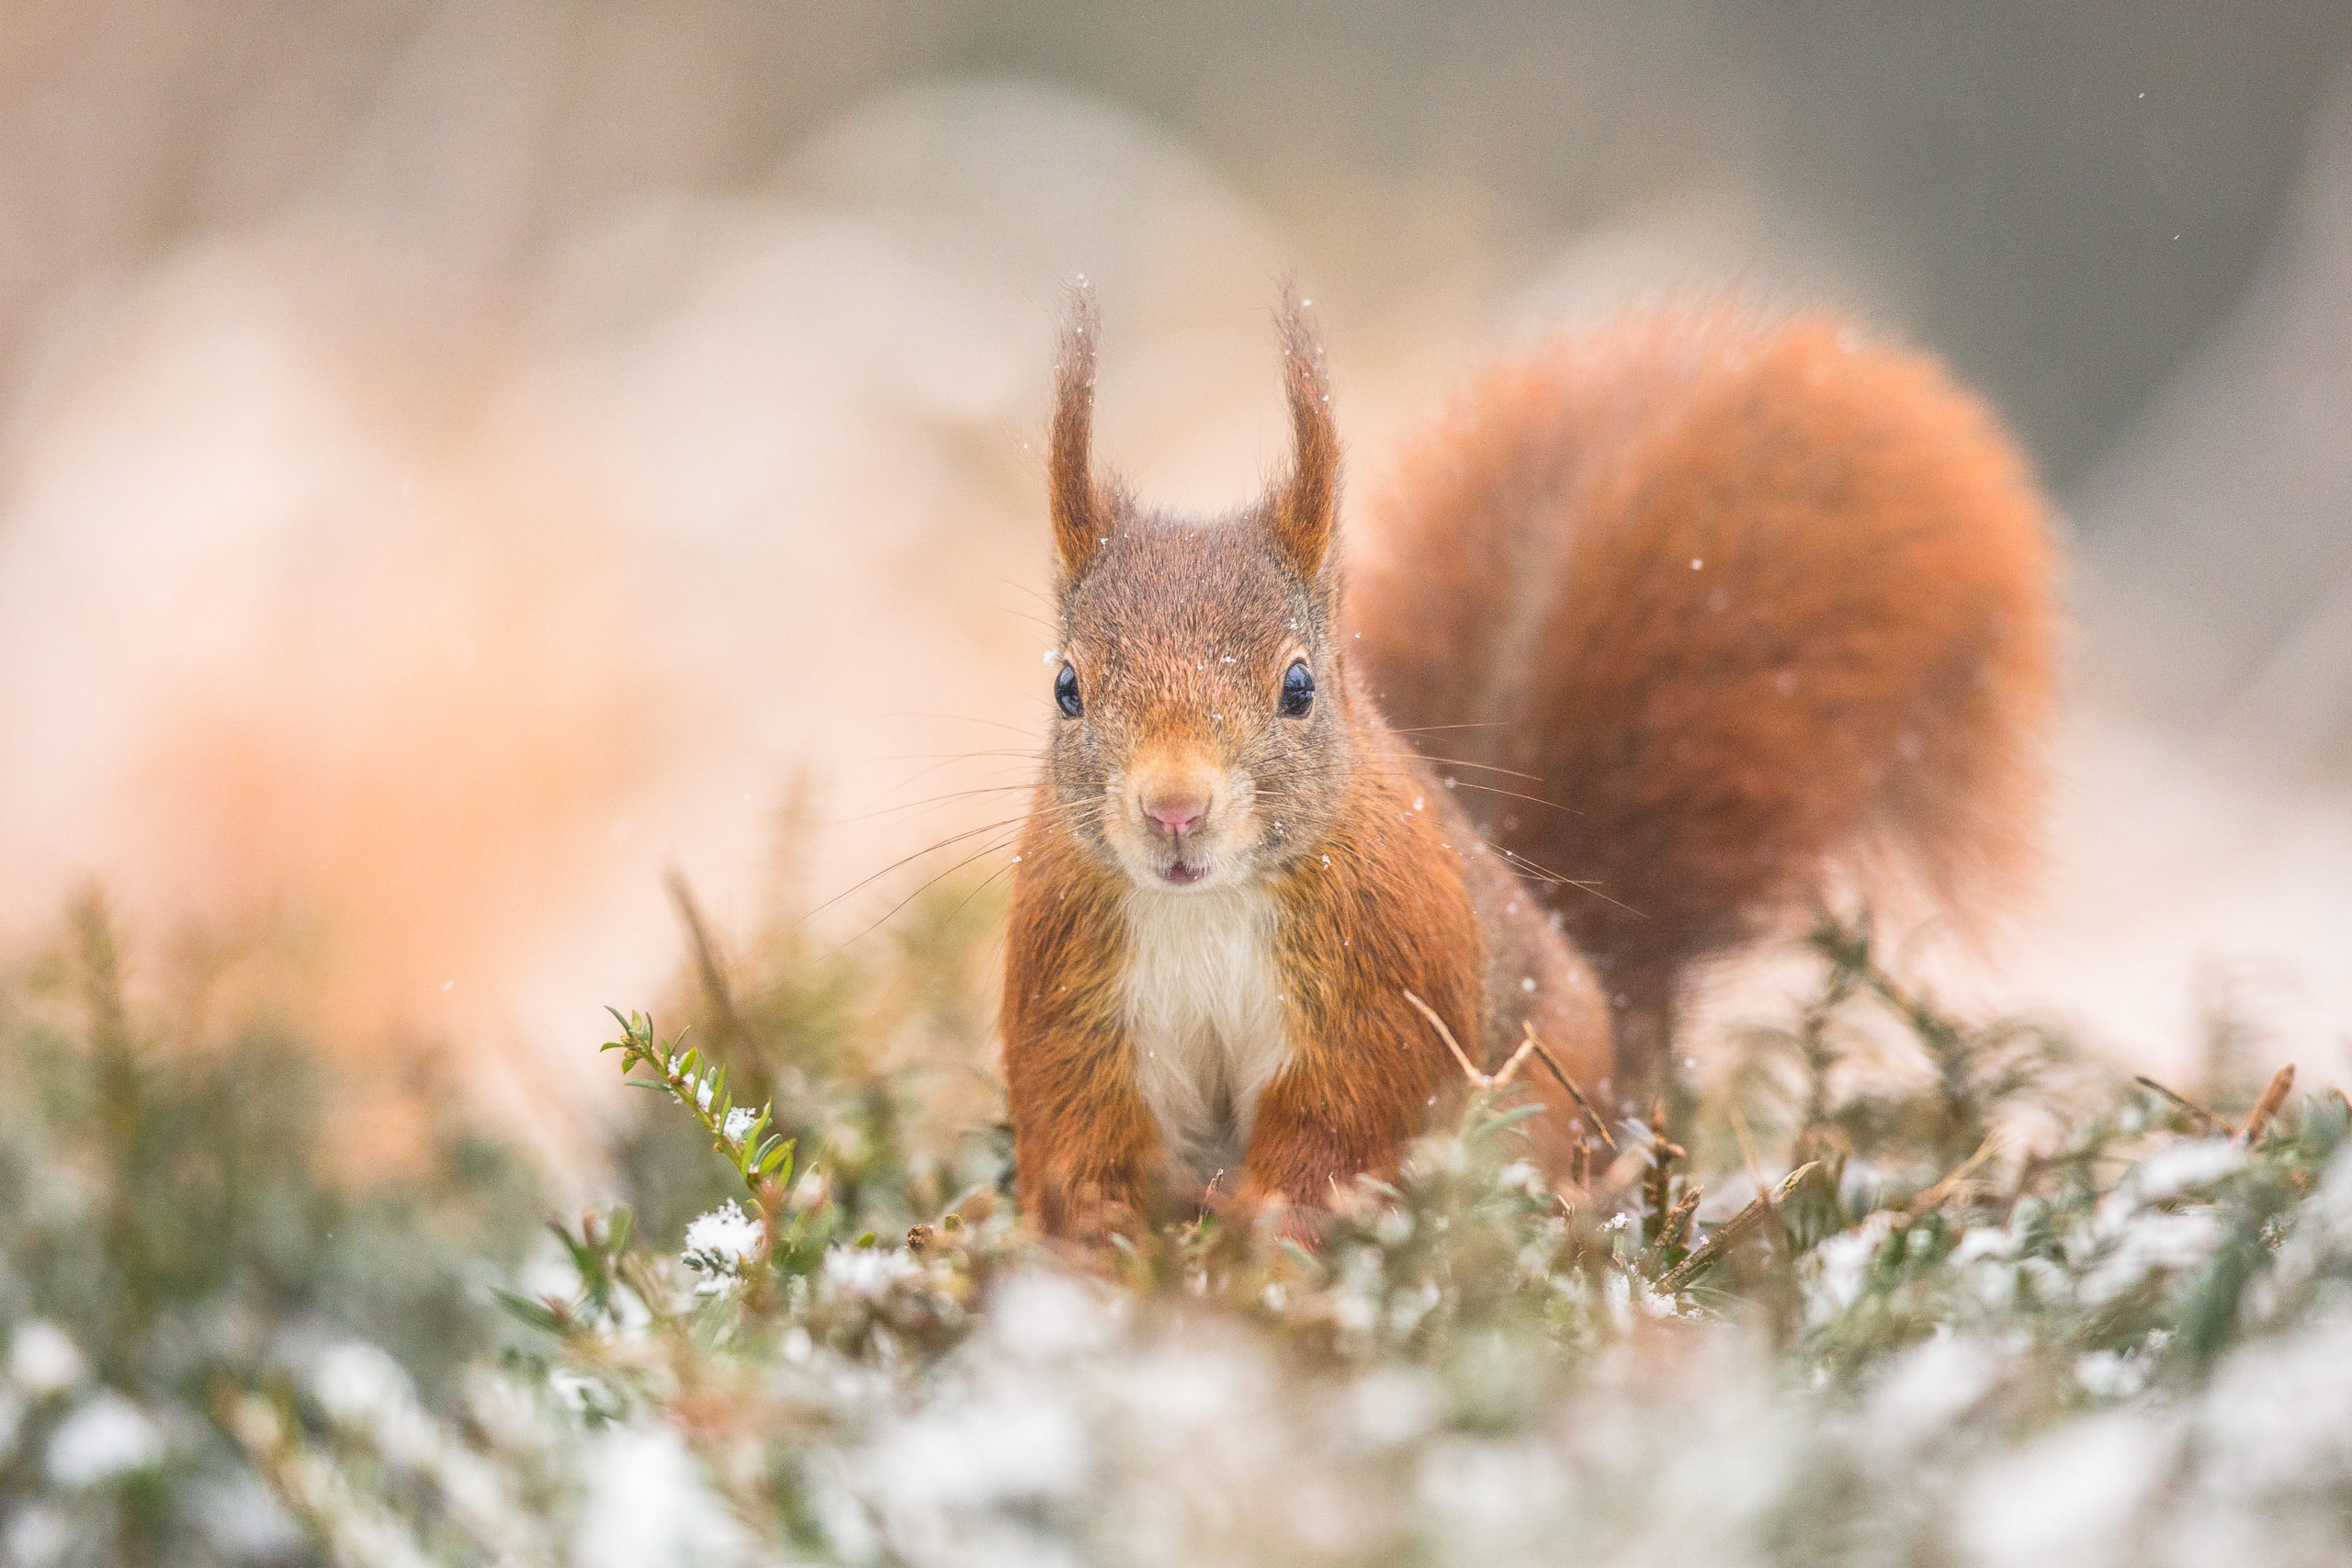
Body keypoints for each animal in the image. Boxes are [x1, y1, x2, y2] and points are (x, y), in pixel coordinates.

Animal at [1001, 291, 2051, 1241]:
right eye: (1065, 687)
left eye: (1298, 687)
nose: (1175, 811)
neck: (1205, 905)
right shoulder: (1074, 995)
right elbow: (1082, 1126)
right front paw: (1099, 1232)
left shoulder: (1386, 986)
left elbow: (1340, 1129)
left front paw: (1269, 1226)